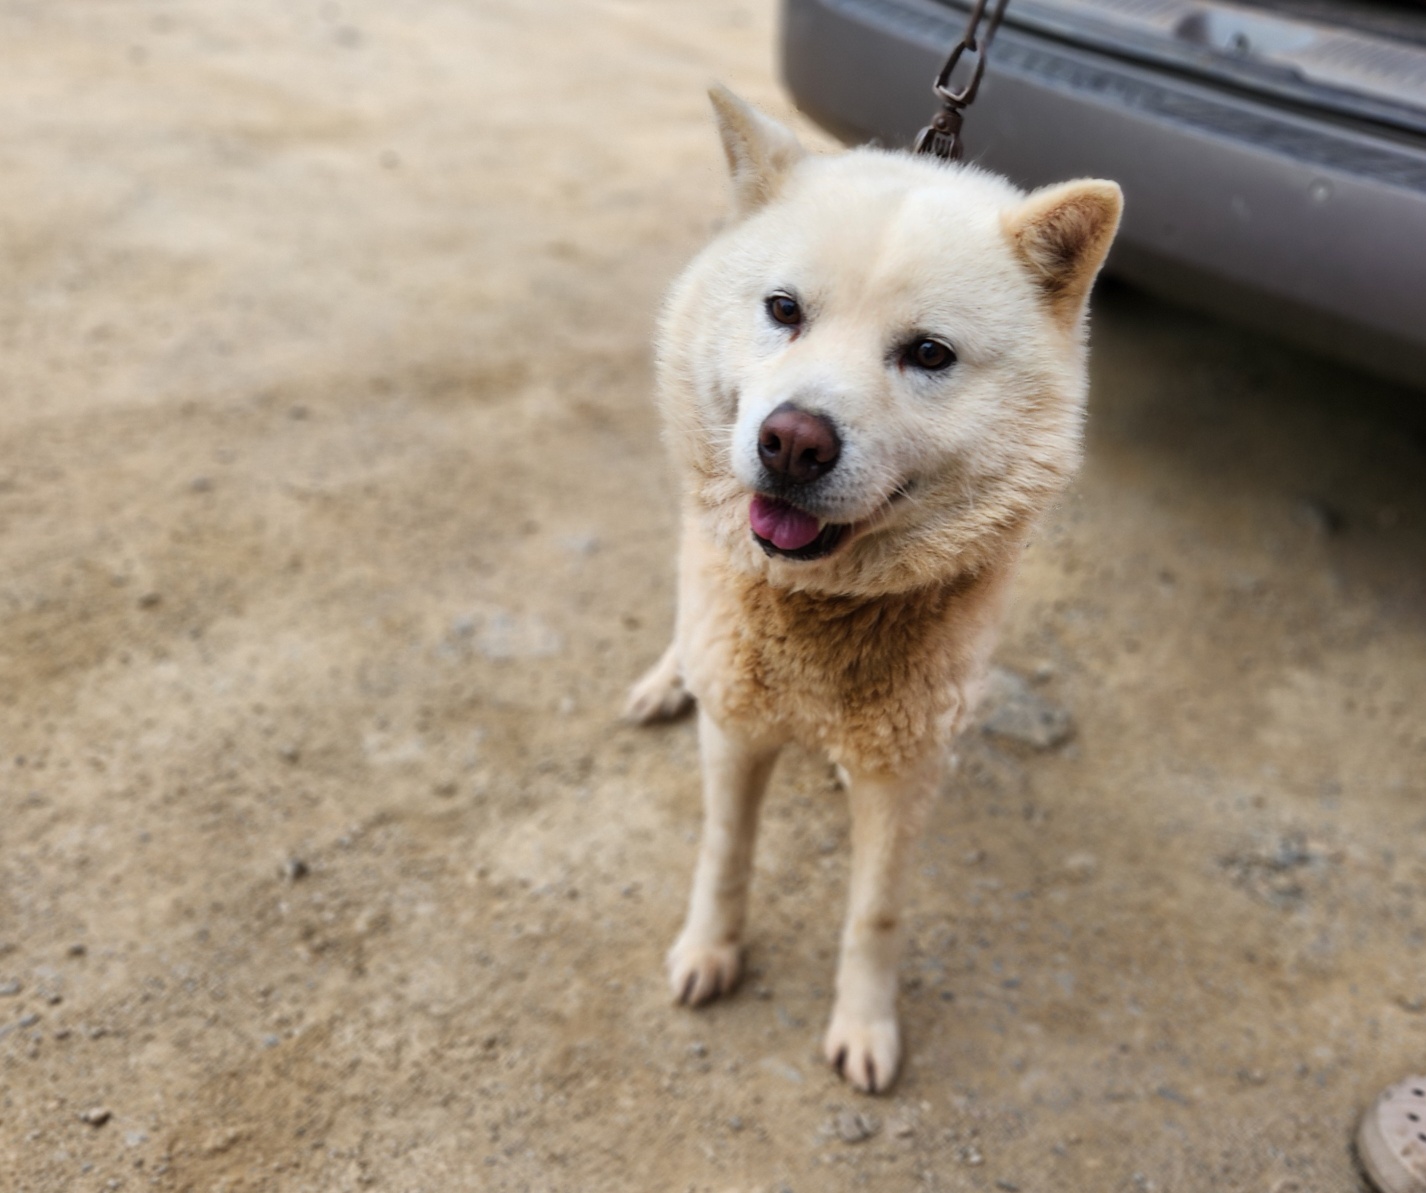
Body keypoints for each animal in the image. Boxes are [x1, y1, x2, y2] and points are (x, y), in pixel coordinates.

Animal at [630, 81, 1117, 1088]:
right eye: (784, 309)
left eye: (928, 354)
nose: (792, 442)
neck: (821, 612)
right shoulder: (736, 729)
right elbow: (724, 852)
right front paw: (711, 949)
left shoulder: (910, 769)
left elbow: (876, 912)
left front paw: (864, 1023)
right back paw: (667, 677)